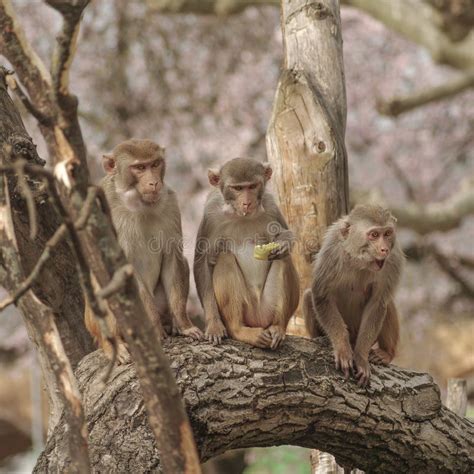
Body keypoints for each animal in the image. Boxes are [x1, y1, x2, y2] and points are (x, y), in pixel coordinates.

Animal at [85, 139, 202, 362]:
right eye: (139, 168)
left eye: (155, 164)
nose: (153, 183)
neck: (139, 204)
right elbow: (121, 270)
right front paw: (154, 331)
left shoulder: (170, 202)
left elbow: (173, 258)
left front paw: (183, 325)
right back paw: (113, 343)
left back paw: (170, 323)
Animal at [193, 158, 300, 348]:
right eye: (237, 188)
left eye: (252, 186)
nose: (247, 203)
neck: (241, 215)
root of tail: (257, 318)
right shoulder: (211, 214)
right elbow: (202, 262)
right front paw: (214, 325)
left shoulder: (271, 205)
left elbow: (284, 235)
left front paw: (285, 242)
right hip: (247, 310)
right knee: (225, 258)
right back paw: (239, 330)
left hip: (266, 309)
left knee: (283, 258)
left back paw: (278, 327)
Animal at [304, 204, 404, 386]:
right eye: (374, 235)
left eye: (387, 234)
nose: (384, 249)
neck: (360, 260)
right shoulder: (332, 251)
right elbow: (322, 296)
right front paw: (342, 348)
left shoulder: (392, 260)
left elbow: (377, 304)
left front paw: (361, 357)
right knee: (309, 296)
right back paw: (322, 339)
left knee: (386, 303)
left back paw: (386, 352)